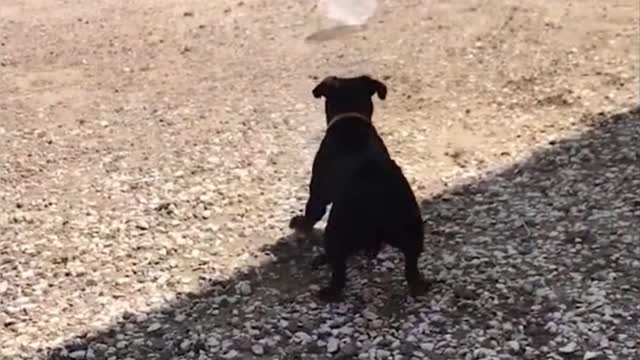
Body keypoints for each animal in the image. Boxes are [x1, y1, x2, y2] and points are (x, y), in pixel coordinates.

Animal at [290, 75, 430, 300]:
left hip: (335, 233)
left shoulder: (319, 192)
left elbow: (312, 212)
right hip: (413, 232)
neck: (350, 118)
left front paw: (301, 224)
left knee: (338, 272)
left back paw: (328, 288)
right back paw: (419, 285)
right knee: (411, 267)